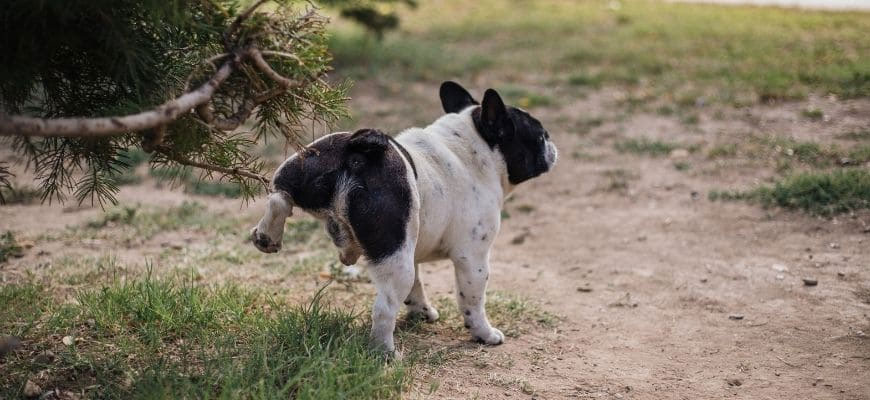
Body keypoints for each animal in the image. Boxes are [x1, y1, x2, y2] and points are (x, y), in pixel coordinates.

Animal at [252, 81, 560, 356]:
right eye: (540, 136)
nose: (552, 145)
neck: (473, 149)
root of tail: (355, 154)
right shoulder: (472, 258)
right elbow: (472, 300)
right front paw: (484, 333)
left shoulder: (413, 250)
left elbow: (418, 286)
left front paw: (421, 312)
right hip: (396, 257)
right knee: (384, 308)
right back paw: (386, 353)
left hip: (307, 161)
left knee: (279, 194)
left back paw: (267, 235)